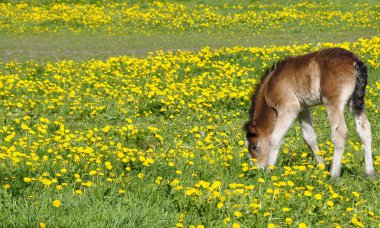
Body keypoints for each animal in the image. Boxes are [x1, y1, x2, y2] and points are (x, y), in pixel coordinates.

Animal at [245, 48, 376, 178]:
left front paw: (269, 170)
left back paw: (334, 175)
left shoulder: (289, 108)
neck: (271, 84)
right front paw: (322, 166)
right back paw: (370, 173)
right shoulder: (303, 109)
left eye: (254, 146)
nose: (258, 169)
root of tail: (354, 61)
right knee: (364, 129)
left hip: (333, 102)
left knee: (340, 133)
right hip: (354, 103)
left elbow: (275, 138)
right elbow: (309, 137)